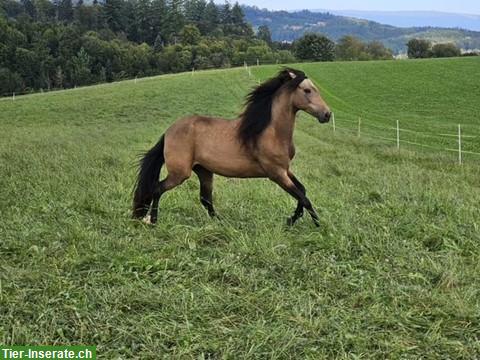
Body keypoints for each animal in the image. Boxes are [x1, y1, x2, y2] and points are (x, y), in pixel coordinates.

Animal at [133, 68, 332, 226]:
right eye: (307, 90)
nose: (327, 114)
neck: (271, 132)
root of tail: (168, 132)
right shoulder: (276, 173)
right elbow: (304, 198)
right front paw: (317, 225)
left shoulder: (285, 170)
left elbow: (302, 192)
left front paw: (292, 219)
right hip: (180, 173)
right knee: (158, 189)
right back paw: (153, 221)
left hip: (204, 171)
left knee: (205, 199)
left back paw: (222, 223)